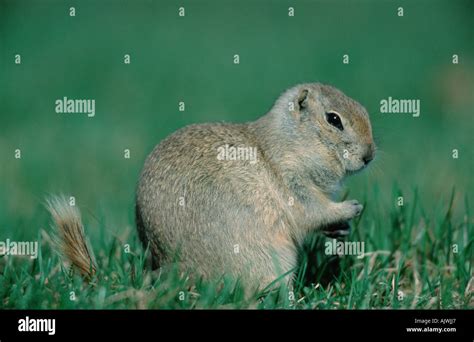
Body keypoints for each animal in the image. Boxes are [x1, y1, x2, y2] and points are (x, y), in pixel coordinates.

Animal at [47, 82, 374, 292]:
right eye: (334, 119)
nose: (370, 156)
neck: (289, 142)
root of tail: (171, 275)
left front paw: (341, 228)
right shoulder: (293, 183)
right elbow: (312, 211)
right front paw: (351, 208)